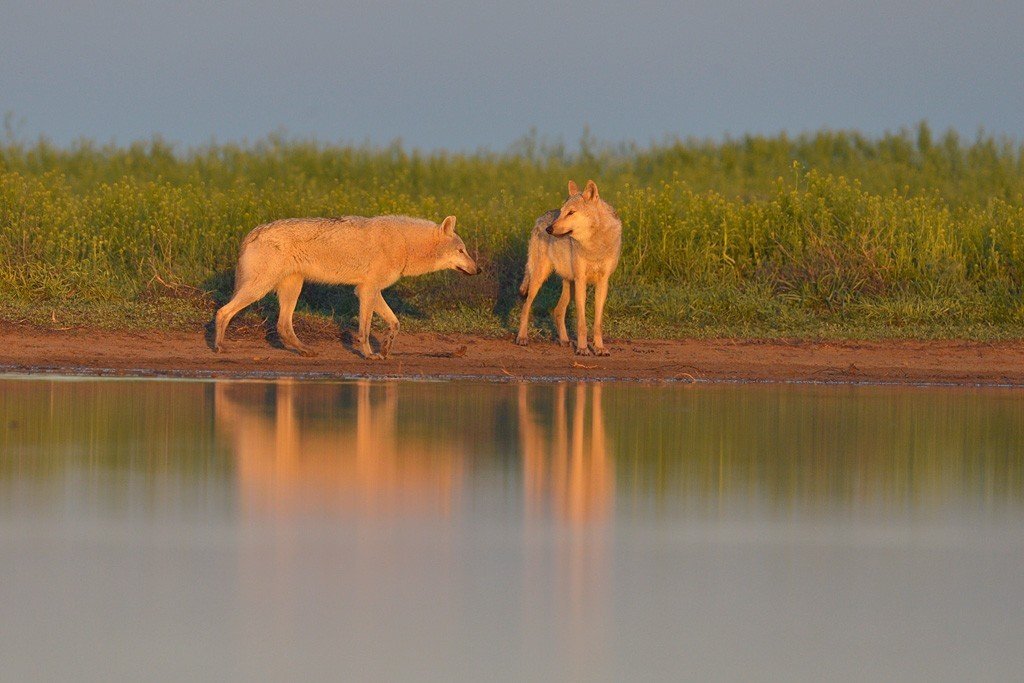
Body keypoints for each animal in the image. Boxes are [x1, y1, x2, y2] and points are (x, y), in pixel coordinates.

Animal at [212, 216, 483, 360]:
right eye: (461, 251)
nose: (478, 270)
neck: (405, 244)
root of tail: (253, 232)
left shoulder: (370, 290)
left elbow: (395, 323)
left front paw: (386, 349)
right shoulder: (367, 291)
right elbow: (365, 329)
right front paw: (369, 354)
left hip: (292, 289)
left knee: (282, 326)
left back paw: (306, 351)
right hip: (260, 289)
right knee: (223, 312)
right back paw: (220, 347)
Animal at [516, 180, 618, 358]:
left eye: (571, 213)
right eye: (562, 212)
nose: (549, 229)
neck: (594, 246)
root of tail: (540, 218)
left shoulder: (602, 283)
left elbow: (597, 324)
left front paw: (599, 348)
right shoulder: (581, 281)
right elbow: (582, 323)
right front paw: (583, 348)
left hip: (569, 284)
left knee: (557, 311)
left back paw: (564, 340)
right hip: (539, 279)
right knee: (526, 307)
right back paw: (522, 338)